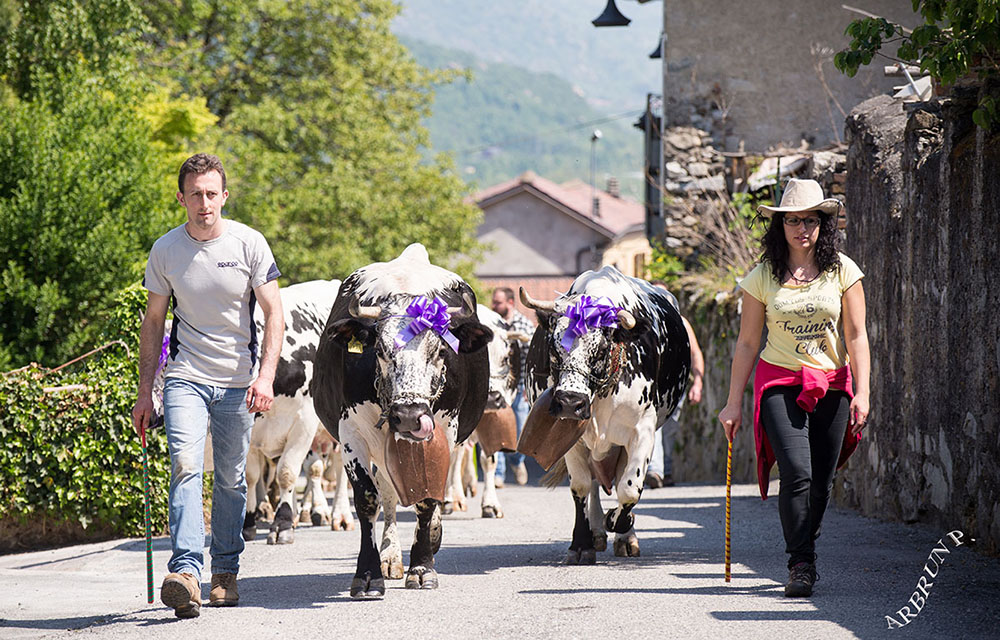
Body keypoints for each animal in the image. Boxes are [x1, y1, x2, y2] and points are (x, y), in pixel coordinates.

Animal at [241, 280, 352, 544]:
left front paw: (281, 524)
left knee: (340, 469)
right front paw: (249, 523)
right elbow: (251, 476)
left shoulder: (303, 423)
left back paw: (340, 515)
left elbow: (287, 473)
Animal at [312, 244, 492, 600]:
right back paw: (390, 555)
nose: (408, 416)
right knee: (388, 493)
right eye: (380, 351)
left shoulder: (443, 431)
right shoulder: (351, 433)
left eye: (439, 351)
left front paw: (422, 567)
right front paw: (368, 573)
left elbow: (427, 498)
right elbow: (368, 499)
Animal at [520, 268, 692, 564]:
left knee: (621, 478)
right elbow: (580, 487)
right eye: (553, 348)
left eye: (600, 349)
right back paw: (598, 531)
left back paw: (624, 536)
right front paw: (581, 543)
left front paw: (620, 522)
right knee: (593, 483)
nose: (570, 402)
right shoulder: (570, 437)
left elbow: (630, 488)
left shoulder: (642, 431)